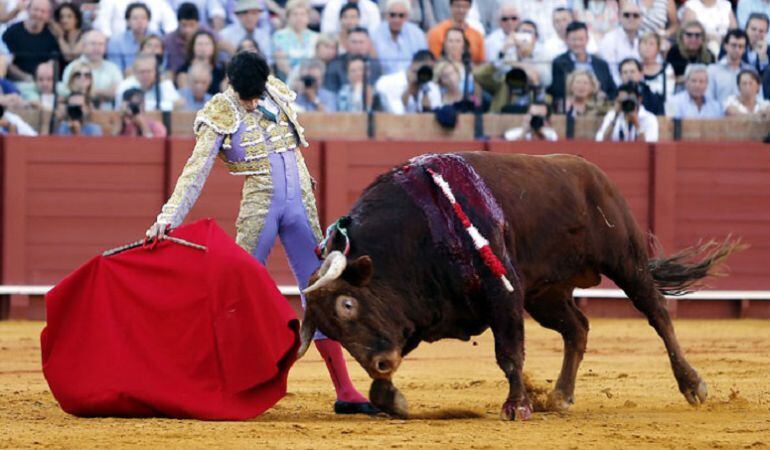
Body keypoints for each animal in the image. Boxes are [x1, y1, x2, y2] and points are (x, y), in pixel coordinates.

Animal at [296, 150, 736, 418]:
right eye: (331, 329)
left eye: (347, 305)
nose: (382, 362)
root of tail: (590, 171)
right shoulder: (418, 315)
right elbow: (379, 385)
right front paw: (394, 399)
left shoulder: (503, 289)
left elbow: (509, 354)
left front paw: (517, 407)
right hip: (546, 294)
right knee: (577, 328)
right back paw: (560, 396)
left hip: (625, 260)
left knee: (657, 314)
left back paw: (693, 385)